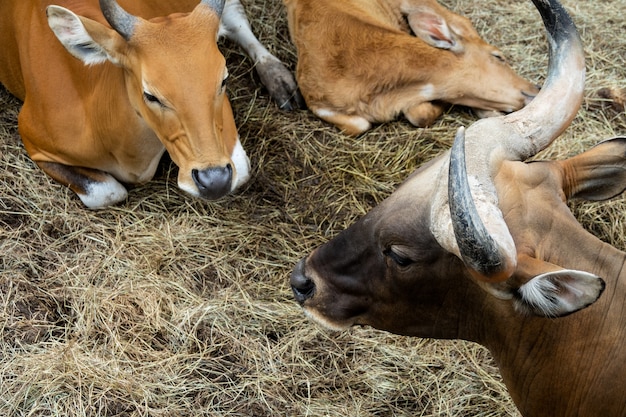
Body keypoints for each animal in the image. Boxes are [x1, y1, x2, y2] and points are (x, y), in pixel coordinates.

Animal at [0, 0, 302, 208]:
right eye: (151, 94)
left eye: (223, 80)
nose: (214, 180)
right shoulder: (33, 140)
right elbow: (109, 192)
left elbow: (241, 170)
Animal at [286, 0, 540, 135]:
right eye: (498, 56)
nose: (536, 88)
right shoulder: (315, 100)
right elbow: (360, 124)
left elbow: (420, 113)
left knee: (459, 20)